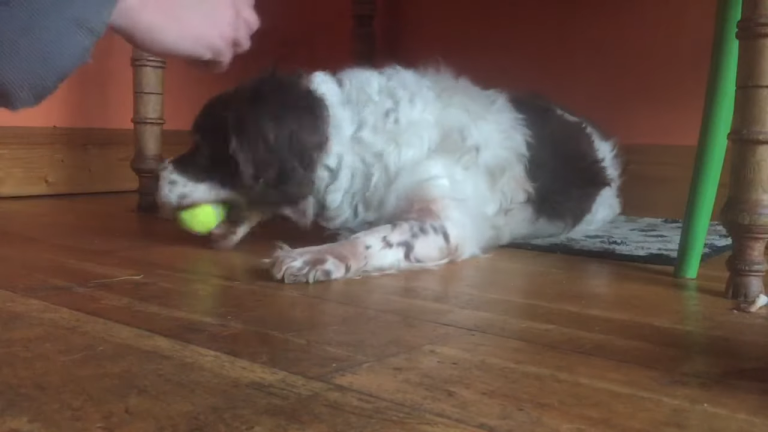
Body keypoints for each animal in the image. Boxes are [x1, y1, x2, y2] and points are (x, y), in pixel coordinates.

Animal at [159, 65, 620, 284]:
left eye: (202, 145)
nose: (153, 185)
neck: (349, 136)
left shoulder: (446, 221)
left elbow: (377, 237)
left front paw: (320, 255)